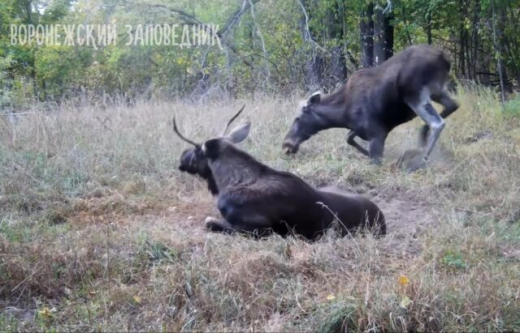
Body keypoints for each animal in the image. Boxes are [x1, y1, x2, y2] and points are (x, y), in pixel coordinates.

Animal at [174, 106, 386, 239]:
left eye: (196, 151)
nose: (181, 157)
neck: (227, 181)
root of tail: (382, 219)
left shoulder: (257, 228)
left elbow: (209, 221)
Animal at [282, 44, 458, 170]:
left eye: (298, 118)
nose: (286, 144)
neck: (342, 115)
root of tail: (445, 59)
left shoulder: (377, 133)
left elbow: (374, 159)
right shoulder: (363, 128)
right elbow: (349, 138)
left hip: (415, 94)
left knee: (437, 123)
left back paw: (419, 163)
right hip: (437, 91)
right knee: (453, 105)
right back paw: (422, 138)